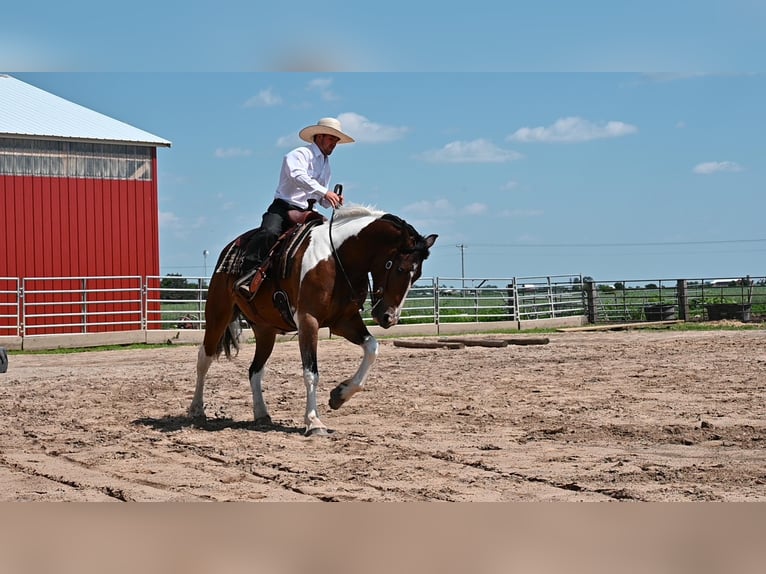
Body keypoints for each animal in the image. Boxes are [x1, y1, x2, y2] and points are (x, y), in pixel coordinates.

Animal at [190, 207, 438, 436]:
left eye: (417, 275)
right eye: (400, 268)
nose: (389, 318)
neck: (337, 258)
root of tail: (230, 248)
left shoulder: (344, 321)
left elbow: (372, 347)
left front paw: (339, 394)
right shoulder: (308, 321)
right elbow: (311, 373)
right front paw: (314, 422)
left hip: (265, 330)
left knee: (255, 370)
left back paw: (261, 414)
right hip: (218, 313)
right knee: (204, 358)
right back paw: (196, 409)